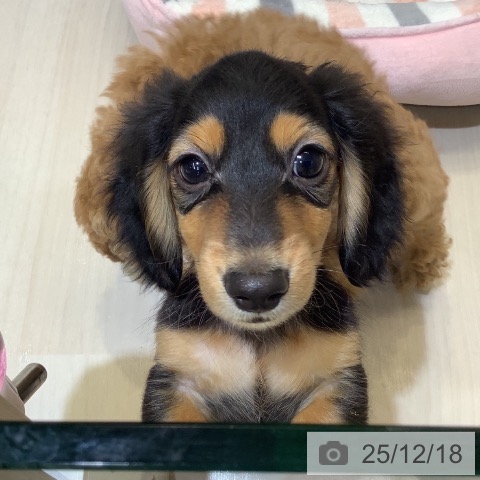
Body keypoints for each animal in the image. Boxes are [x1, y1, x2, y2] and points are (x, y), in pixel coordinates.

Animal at [74, 9, 450, 424]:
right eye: (192, 168)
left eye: (308, 161)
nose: (256, 290)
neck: (258, 340)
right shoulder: (175, 377)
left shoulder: (338, 380)